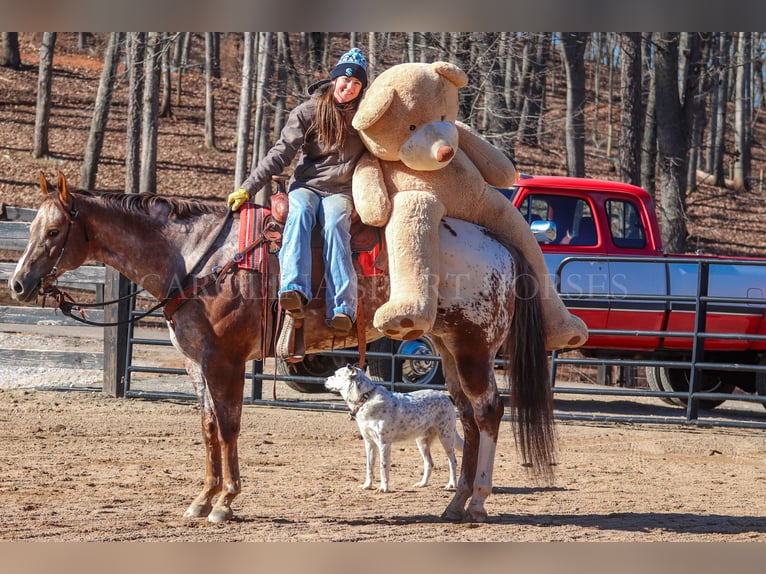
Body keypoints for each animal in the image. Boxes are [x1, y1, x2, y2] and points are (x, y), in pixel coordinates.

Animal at [324, 366, 462, 492]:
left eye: (336, 374)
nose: (324, 379)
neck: (365, 398)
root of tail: (446, 397)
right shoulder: (369, 443)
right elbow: (369, 467)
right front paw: (367, 485)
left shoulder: (384, 443)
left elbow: (383, 467)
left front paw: (384, 488)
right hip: (422, 441)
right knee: (429, 463)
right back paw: (423, 484)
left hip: (446, 437)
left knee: (453, 462)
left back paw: (452, 484)